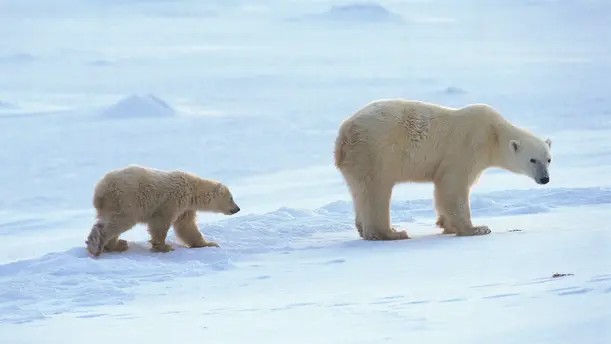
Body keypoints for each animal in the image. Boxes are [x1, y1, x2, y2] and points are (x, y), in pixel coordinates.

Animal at [85, 165, 241, 256]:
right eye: (231, 198)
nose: (237, 209)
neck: (193, 188)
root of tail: (101, 188)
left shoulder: (185, 207)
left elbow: (186, 226)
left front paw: (209, 244)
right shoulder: (174, 199)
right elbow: (161, 222)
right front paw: (164, 247)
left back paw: (117, 245)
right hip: (126, 200)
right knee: (119, 221)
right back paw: (98, 246)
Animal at [334, 98, 556, 241]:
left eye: (548, 160)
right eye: (532, 160)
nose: (545, 179)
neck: (493, 133)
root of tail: (343, 134)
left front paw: (446, 225)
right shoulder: (468, 145)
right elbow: (453, 185)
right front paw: (477, 228)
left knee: (359, 191)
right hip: (376, 152)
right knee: (377, 190)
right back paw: (392, 233)